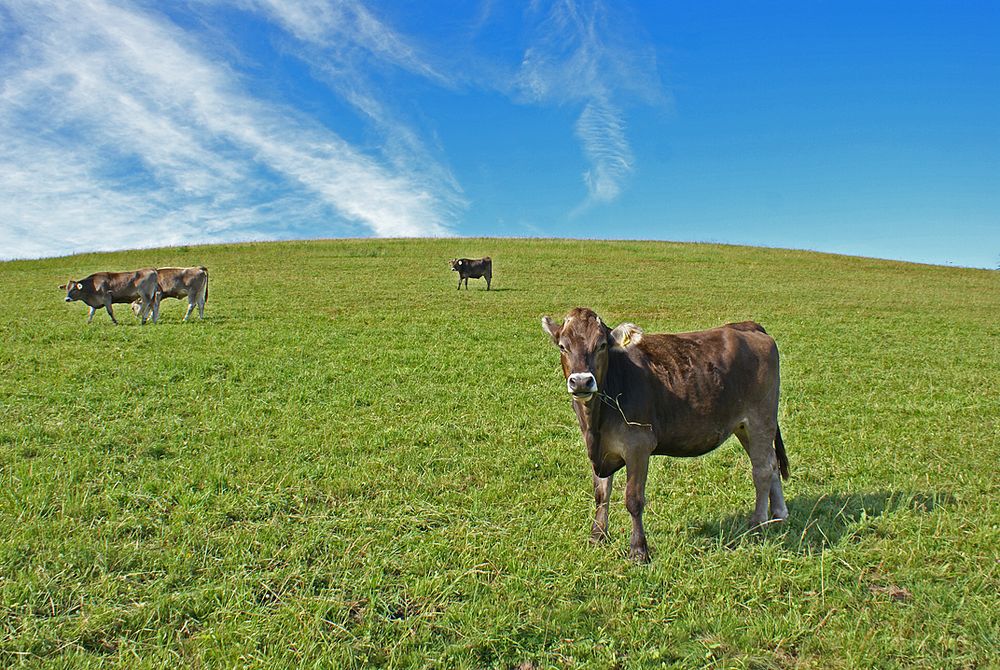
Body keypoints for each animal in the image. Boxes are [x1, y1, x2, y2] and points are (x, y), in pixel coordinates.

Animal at [544, 308, 792, 560]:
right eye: (563, 346)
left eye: (602, 345)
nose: (581, 381)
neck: (596, 423)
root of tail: (746, 325)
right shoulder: (600, 451)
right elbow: (601, 495)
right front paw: (597, 537)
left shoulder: (638, 446)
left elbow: (633, 500)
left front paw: (639, 551)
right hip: (744, 426)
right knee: (771, 463)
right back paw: (779, 515)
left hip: (760, 418)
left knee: (762, 469)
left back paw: (757, 523)